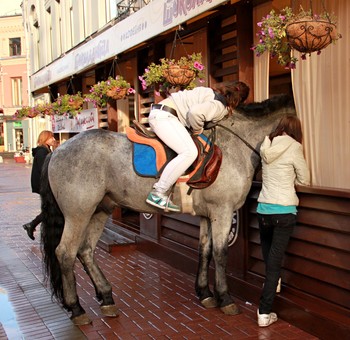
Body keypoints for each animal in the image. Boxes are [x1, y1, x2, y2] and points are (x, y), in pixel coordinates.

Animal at [39, 93, 296, 324]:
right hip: (78, 214)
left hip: (99, 210)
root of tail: (57, 151)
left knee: (85, 251)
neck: (233, 145)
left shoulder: (208, 215)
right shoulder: (222, 212)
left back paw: (106, 298)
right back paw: (77, 308)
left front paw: (205, 293)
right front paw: (225, 298)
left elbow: (204, 251)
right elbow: (220, 254)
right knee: (65, 253)